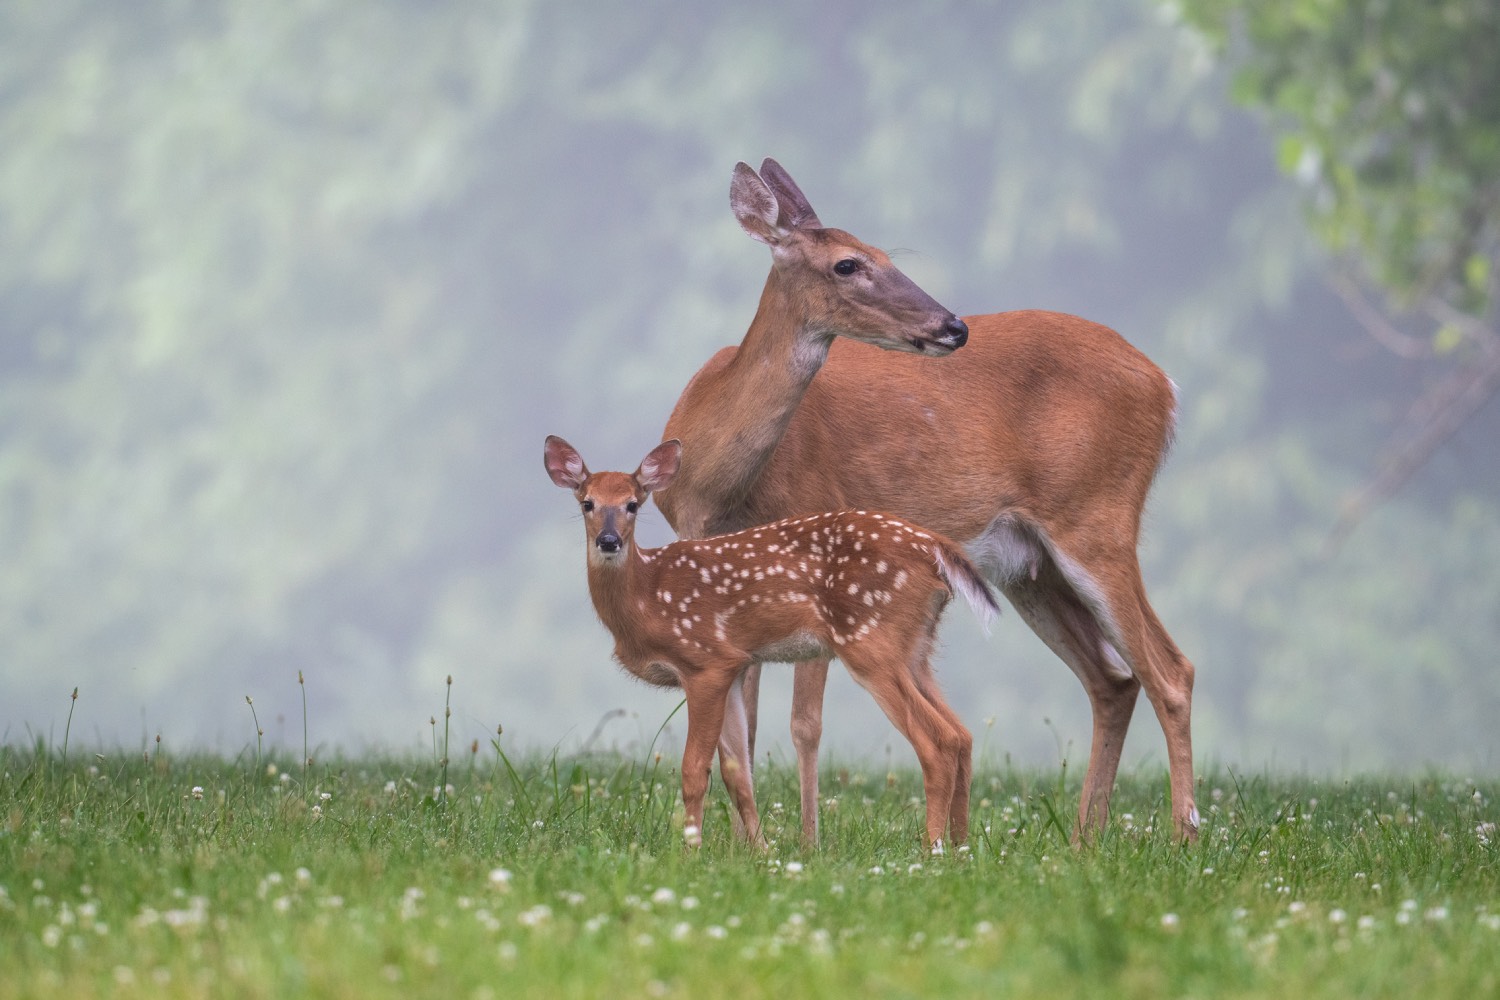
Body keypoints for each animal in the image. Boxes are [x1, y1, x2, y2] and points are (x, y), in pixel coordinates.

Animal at [543, 437, 996, 851]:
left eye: (633, 504)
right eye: (587, 503)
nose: (608, 541)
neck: (648, 597)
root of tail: (936, 549)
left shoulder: (705, 660)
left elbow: (695, 770)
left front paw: (691, 852)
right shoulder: (735, 666)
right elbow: (738, 772)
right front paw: (760, 852)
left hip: (871, 641)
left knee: (938, 742)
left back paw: (932, 849)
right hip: (915, 648)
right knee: (962, 735)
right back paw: (961, 848)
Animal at [654, 158, 1194, 845]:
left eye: (888, 254)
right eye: (849, 263)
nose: (952, 325)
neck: (716, 482)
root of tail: (1165, 385)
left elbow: (805, 725)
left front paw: (806, 843)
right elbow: (740, 728)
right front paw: (749, 846)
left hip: (1097, 515)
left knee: (1170, 671)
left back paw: (1184, 835)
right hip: (1030, 566)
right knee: (1114, 681)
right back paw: (1083, 841)